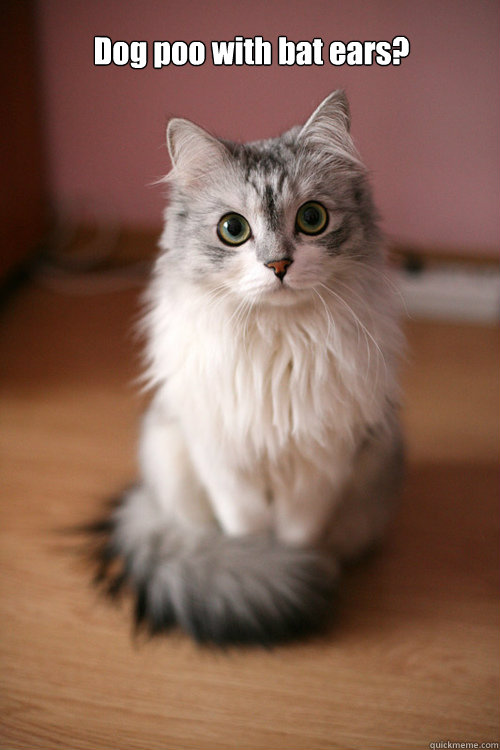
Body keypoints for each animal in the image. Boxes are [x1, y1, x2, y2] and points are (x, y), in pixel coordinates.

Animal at [94, 92, 406, 648]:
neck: (278, 343)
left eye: (312, 218)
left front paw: (302, 570)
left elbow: (297, 536)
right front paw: (270, 572)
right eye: (233, 229)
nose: (278, 265)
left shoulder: (319, 469)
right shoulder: (225, 465)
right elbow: (250, 537)